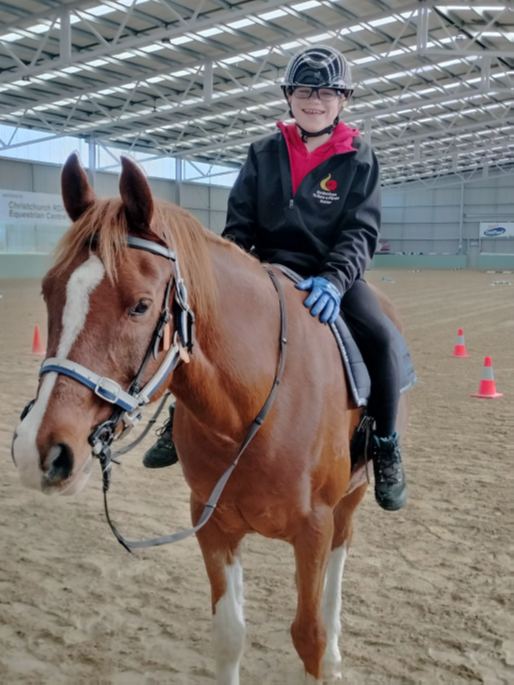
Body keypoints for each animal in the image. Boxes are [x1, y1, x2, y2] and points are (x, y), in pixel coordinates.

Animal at [12, 153, 407, 684]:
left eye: (140, 305)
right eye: (49, 292)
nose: (40, 451)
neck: (250, 411)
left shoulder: (314, 530)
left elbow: (310, 637)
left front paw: (325, 653)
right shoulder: (210, 522)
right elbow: (228, 635)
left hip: (350, 500)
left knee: (340, 566)